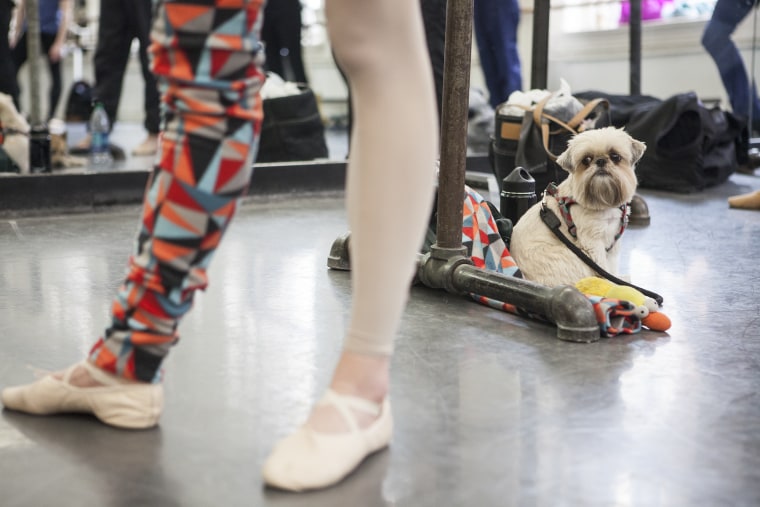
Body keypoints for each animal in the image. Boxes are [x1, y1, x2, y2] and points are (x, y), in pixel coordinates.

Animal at [510, 126, 648, 286]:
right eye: (586, 160)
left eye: (615, 156)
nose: (601, 161)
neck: (604, 203)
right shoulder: (593, 243)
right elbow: (604, 270)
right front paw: (615, 285)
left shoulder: (612, 247)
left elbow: (611, 269)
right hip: (571, 256)